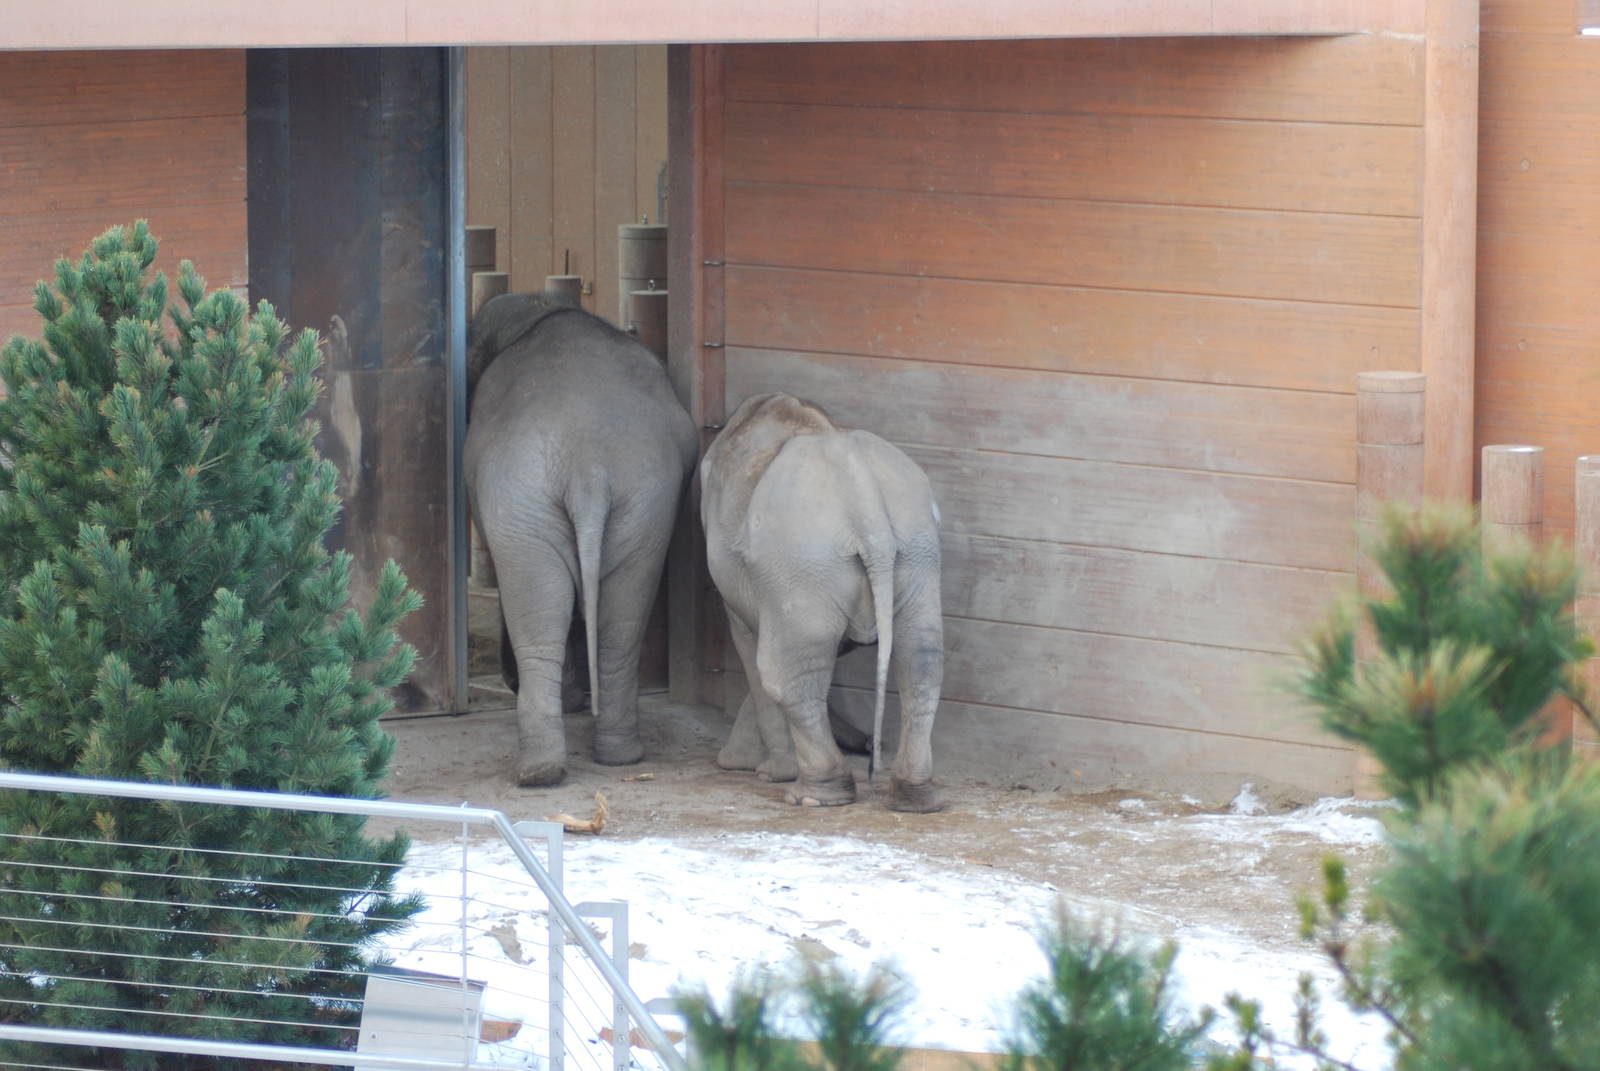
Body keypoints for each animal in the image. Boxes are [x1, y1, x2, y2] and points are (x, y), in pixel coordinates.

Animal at [465, 291, 698, 786]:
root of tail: (588, 465)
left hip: (524, 501)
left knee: (539, 616)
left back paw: (541, 765)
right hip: (644, 505)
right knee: (623, 619)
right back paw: (614, 756)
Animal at [700, 393, 945, 812]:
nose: (867, 746)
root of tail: (866, 504)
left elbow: (748, 640)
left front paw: (760, 771)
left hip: (800, 558)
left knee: (783, 671)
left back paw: (813, 795)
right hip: (917, 550)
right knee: (921, 657)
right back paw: (914, 798)